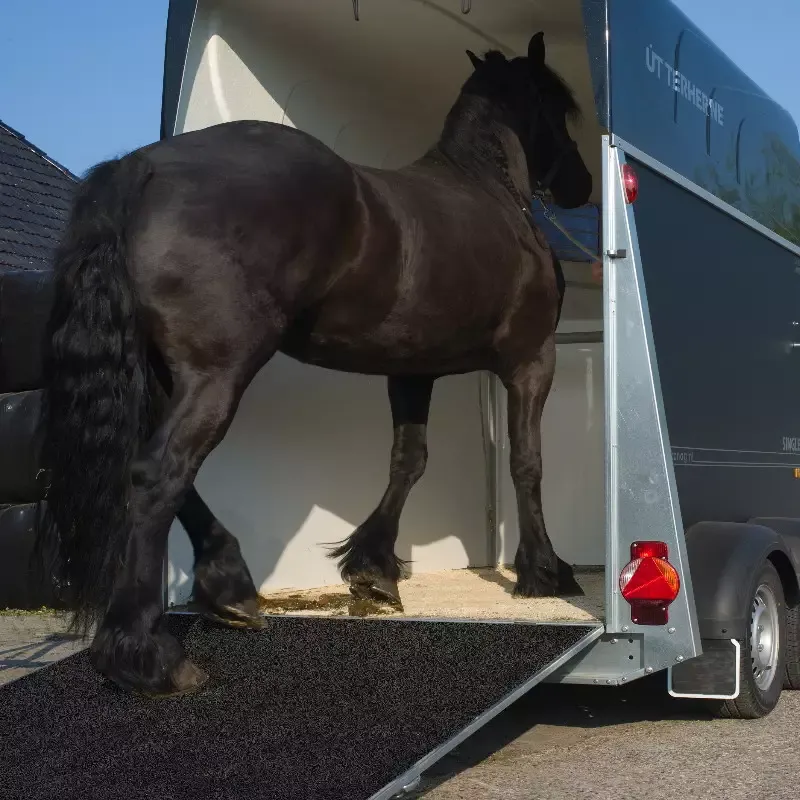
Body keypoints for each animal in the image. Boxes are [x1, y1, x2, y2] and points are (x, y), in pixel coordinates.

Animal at [36, 31, 592, 698]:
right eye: (556, 108)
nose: (583, 184)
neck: (489, 192)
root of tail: (145, 166)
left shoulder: (412, 369)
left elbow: (408, 460)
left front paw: (373, 568)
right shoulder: (531, 361)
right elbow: (526, 463)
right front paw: (546, 571)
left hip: (170, 376)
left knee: (167, 475)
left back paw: (229, 587)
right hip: (218, 374)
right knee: (158, 473)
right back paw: (147, 654)